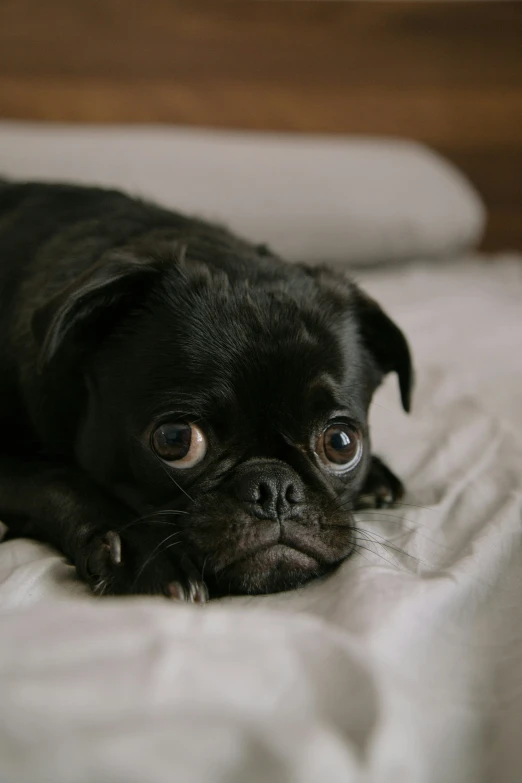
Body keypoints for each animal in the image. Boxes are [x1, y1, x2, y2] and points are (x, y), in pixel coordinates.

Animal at [0, 182, 410, 600]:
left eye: (341, 443)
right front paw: (139, 550)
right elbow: (57, 479)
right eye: (175, 440)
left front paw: (377, 476)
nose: (274, 489)